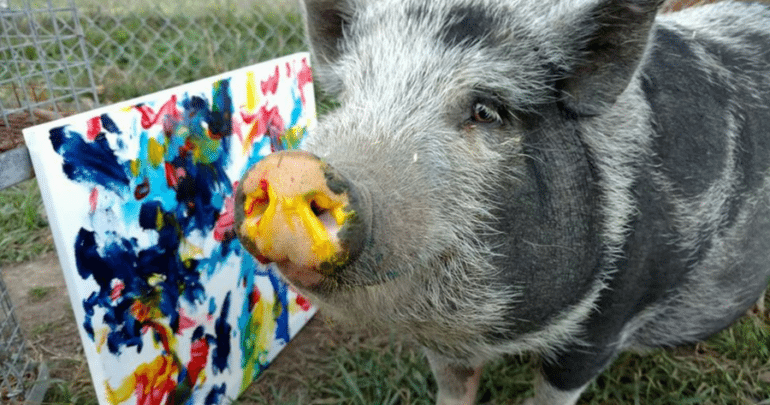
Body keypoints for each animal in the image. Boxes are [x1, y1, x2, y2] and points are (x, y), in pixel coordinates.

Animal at [234, 0, 770, 403]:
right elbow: (454, 388)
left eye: (486, 111)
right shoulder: (446, 345)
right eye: (347, 96)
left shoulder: (607, 320)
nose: (290, 169)